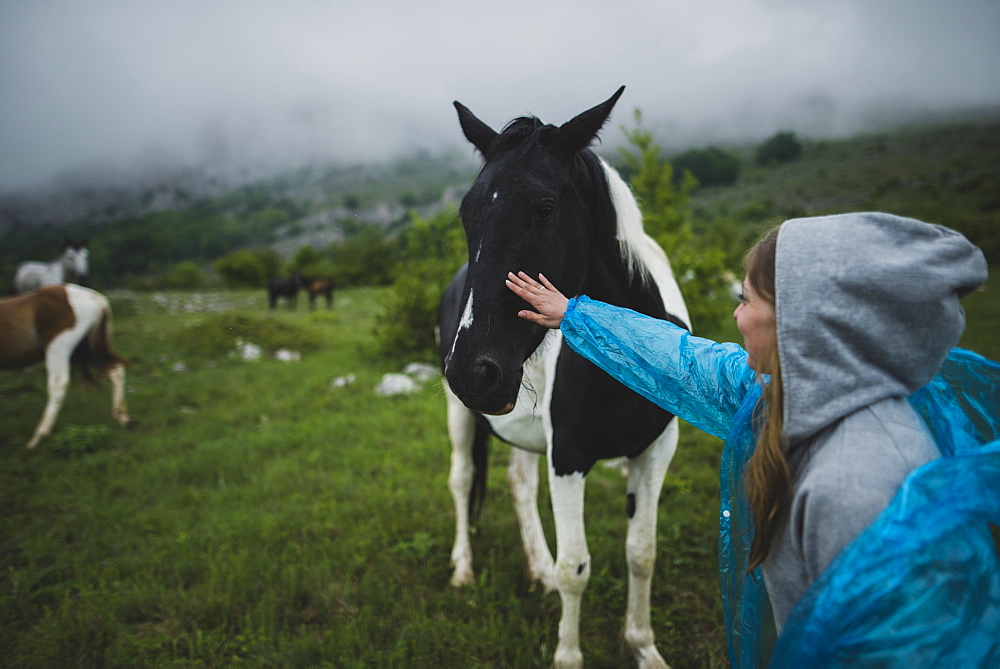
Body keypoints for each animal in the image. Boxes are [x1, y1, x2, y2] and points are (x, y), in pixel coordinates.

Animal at [0, 284, 132, 448]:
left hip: (58, 348)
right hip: (85, 349)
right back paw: (122, 417)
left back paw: (38, 437)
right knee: (116, 370)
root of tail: (96, 298)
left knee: (58, 384)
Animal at [442, 86, 692, 664]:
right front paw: (568, 656)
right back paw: (463, 569)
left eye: (544, 208)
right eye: (467, 212)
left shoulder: (655, 451)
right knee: (462, 479)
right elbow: (576, 567)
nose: (473, 372)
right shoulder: (570, 457)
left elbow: (641, 552)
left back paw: (535, 569)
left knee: (517, 482)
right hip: (458, 415)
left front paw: (643, 646)